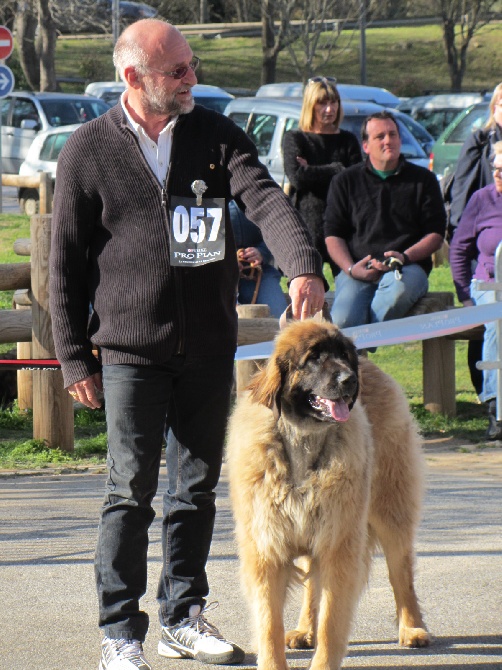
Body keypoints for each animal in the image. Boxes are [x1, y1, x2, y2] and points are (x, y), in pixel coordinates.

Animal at [226, 322, 430, 670]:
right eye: (314, 358)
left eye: (344, 355)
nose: (350, 379)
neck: (302, 444)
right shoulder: (267, 547)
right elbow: (269, 623)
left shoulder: (339, 543)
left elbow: (332, 620)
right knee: (312, 585)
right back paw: (304, 630)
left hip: (390, 511)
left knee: (401, 574)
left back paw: (413, 628)